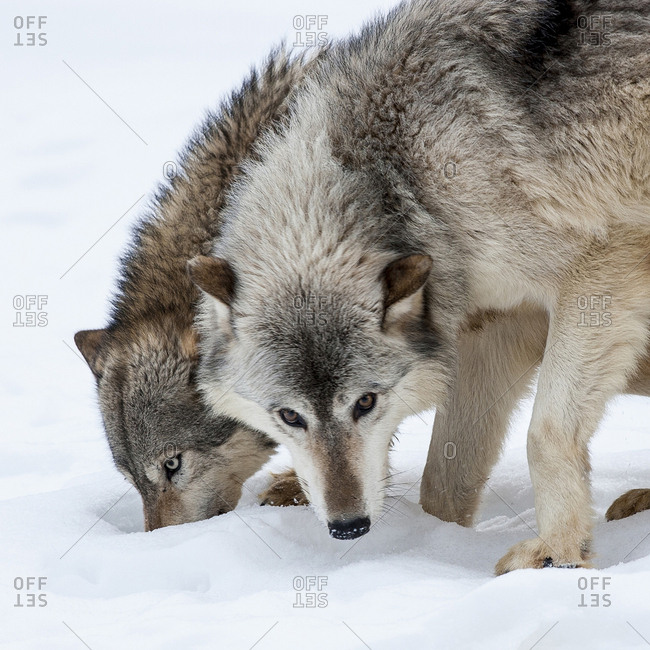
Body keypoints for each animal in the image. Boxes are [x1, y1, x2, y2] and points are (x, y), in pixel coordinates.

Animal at [190, 0, 650, 572]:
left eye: (366, 402)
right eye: (289, 416)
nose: (348, 527)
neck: (403, 176)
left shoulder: (601, 269)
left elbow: (544, 433)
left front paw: (558, 554)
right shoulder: (491, 327)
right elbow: (444, 482)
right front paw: (437, 544)